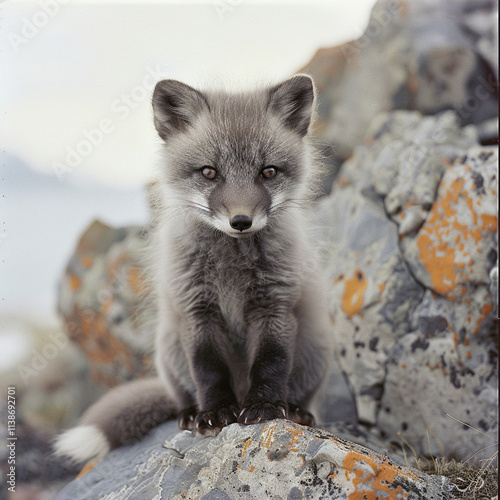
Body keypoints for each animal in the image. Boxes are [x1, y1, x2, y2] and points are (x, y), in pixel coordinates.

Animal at [54, 74, 332, 464]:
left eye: (269, 172)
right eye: (209, 172)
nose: (241, 221)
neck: (231, 265)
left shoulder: (274, 305)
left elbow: (271, 363)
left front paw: (264, 407)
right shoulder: (196, 309)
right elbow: (209, 370)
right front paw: (214, 413)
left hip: (316, 347)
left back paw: (295, 410)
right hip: (170, 349)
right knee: (183, 396)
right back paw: (190, 413)